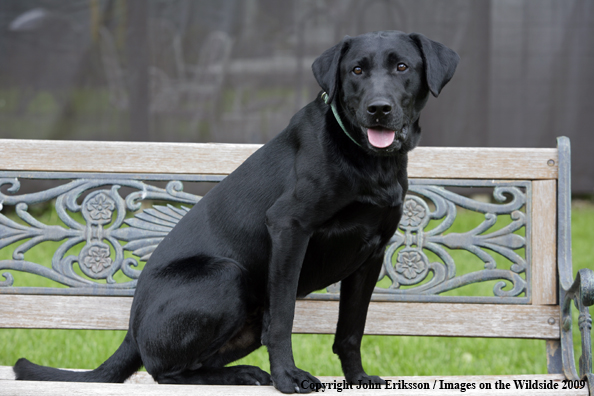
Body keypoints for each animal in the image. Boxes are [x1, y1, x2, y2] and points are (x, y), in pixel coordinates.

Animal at [13, 31, 458, 392]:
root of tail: (131, 333)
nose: (378, 109)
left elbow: (351, 329)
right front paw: (288, 379)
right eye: (357, 70)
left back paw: (240, 374)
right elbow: (282, 319)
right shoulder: (289, 228)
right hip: (228, 274)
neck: (365, 160)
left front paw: (358, 379)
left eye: (402, 66)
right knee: (163, 370)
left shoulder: (371, 252)